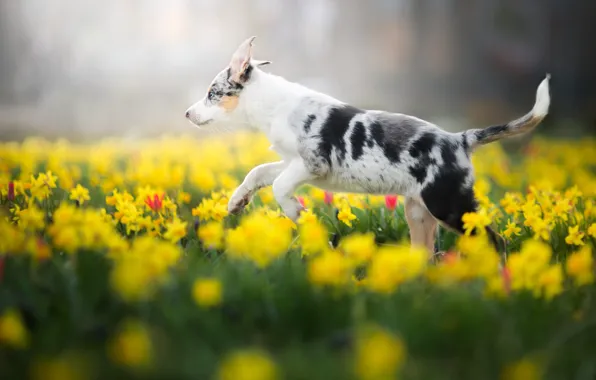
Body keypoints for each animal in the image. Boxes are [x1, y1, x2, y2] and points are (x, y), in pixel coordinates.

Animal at [185, 36, 548, 255]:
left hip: (449, 205)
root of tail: (460, 138)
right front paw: (237, 201)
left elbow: (279, 187)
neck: (274, 106)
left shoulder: (312, 163)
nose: (187, 114)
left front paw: (297, 213)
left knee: (497, 241)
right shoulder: (291, 161)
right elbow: (259, 173)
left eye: (212, 93)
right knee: (427, 253)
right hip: (419, 213)